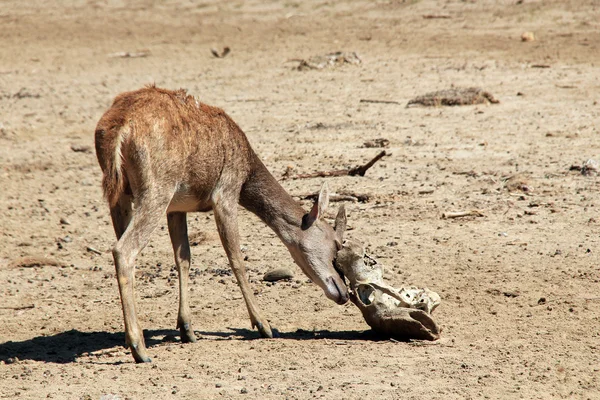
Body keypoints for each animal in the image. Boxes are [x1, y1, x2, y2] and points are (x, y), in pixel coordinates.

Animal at [95, 84, 352, 362]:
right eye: (336, 245)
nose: (344, 293)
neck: (247, 167)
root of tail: (118, 127)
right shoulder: (226, 192)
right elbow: (236, 258)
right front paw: (265, 325)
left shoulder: (177, 207)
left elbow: (183, 257)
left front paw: (187, 329)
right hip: (157, 189)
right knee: (123, 249)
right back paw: (139, 348)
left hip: (119, 194)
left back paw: (131, 338)